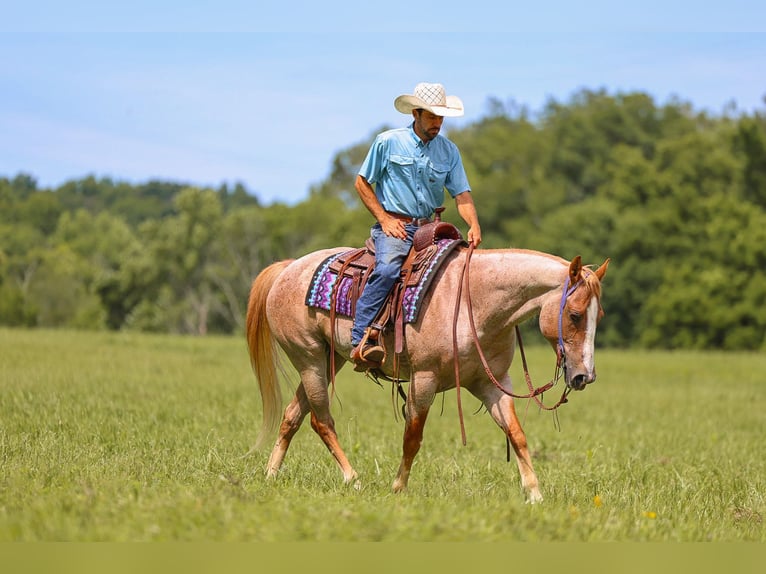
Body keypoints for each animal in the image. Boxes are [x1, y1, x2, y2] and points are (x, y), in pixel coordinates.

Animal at [246, 245, 609, 502]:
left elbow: (516, 434)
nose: (585, 377)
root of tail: (288, 267)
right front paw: (398, 488)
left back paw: (270, 475)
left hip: (330, 359)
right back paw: (353, 479)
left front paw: (534, 494)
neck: (475, 303)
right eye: (575, 315)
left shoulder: (492, 383)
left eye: (599, 315)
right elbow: (412, 437)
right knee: (321, 420)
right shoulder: (425, 379)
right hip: (308, 359)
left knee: (292, 415)